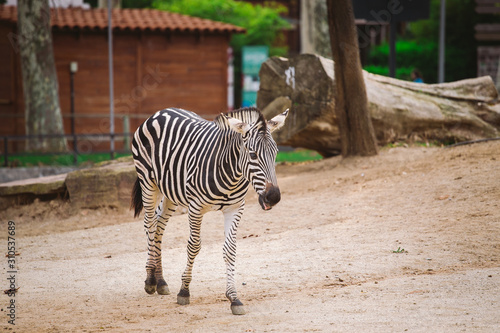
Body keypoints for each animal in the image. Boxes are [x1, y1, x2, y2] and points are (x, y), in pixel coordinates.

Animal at [130, 106, 290, 314]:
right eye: (253, 154)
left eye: (276, 152)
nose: (274, 197)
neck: (231, 173)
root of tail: (161, 111)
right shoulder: (195, 207)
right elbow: (194, 246)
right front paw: (184, 291)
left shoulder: (235, 208)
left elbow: (230, 250)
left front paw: (234, 298)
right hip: (147, 182)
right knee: (149, 224)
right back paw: (150, 279)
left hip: (171, 191)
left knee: (158, 225)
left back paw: (161, 280)